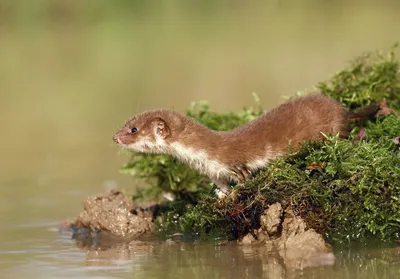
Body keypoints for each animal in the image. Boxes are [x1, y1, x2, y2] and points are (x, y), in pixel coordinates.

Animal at [112, 95, 346, 196]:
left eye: (133, 129)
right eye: (125, 123)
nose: (114, 137)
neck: (203, 158)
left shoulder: (235, 164)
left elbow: (243, 179)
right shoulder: (214, 172)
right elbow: (221, 185)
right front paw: (221, 195)